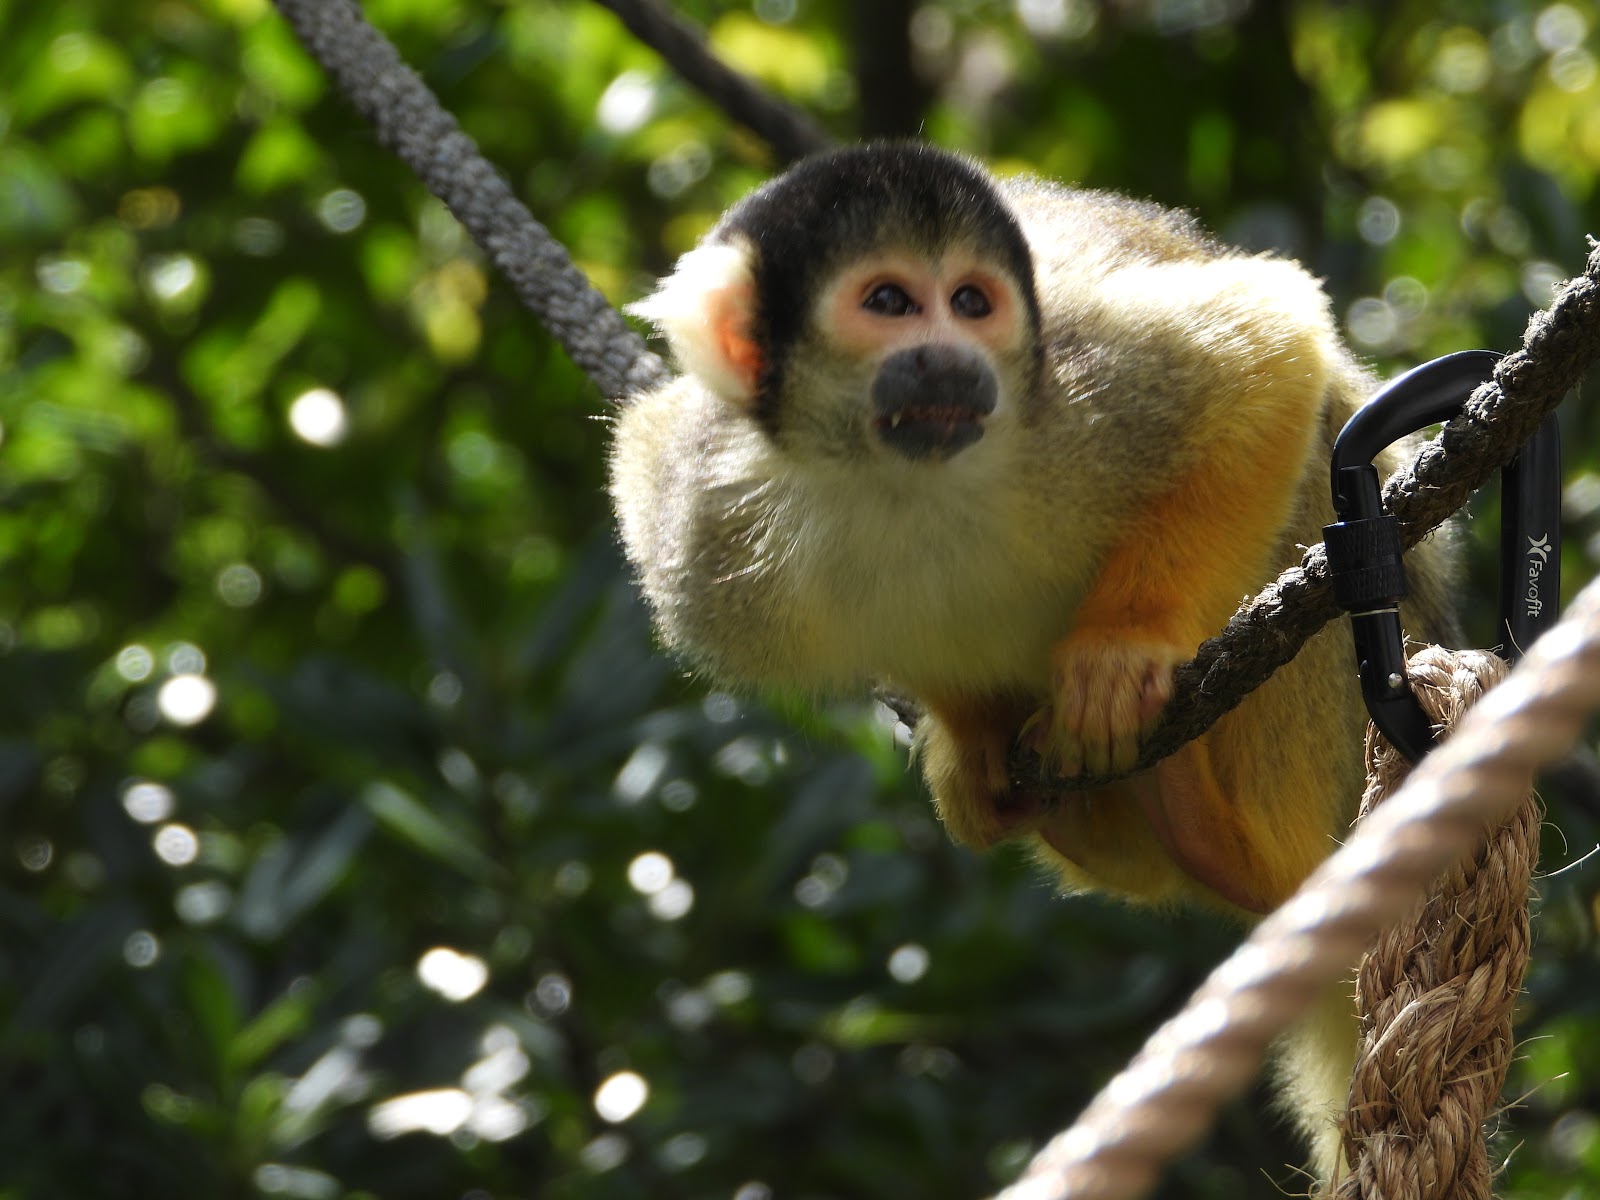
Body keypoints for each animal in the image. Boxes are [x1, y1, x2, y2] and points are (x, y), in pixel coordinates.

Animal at [608, 142, 1459, 1177]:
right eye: (888, 301)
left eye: (972, 303)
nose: (951, 357)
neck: (899, 475)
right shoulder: (697, 513)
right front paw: (971, 742)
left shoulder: (1073, 383)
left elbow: (1266, 342)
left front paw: (1124, 646)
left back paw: (1240, 848)